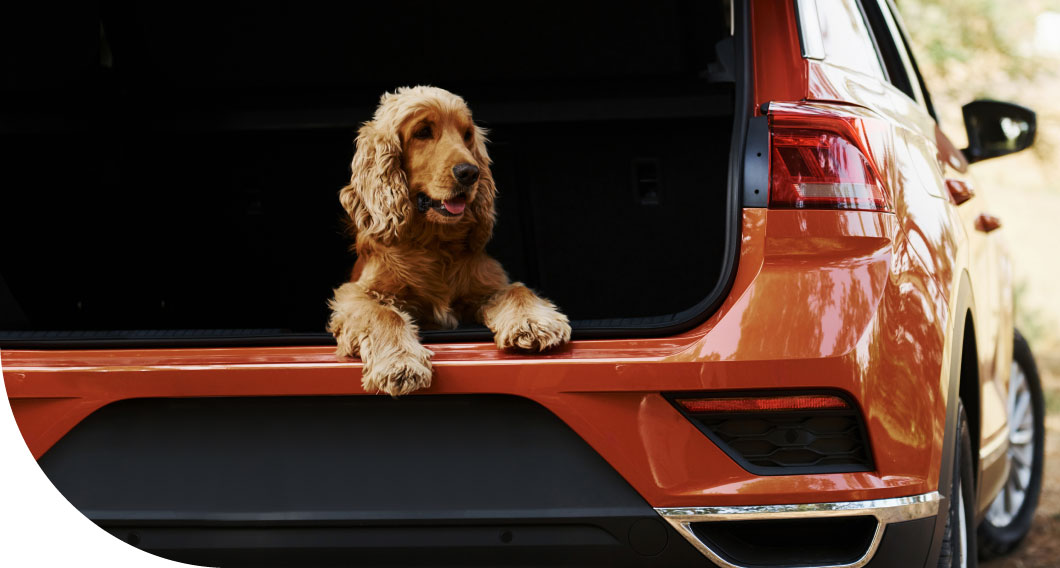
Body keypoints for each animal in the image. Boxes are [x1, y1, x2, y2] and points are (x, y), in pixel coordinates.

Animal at [326, 85, 572, 394]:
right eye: (422, 132)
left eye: (466, 135)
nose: (470, 173)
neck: (434, 242)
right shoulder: (355, 293)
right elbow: (383, 313)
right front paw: (399, 364)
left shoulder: (487, 283)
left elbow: (517, 289)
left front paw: (533, 322)